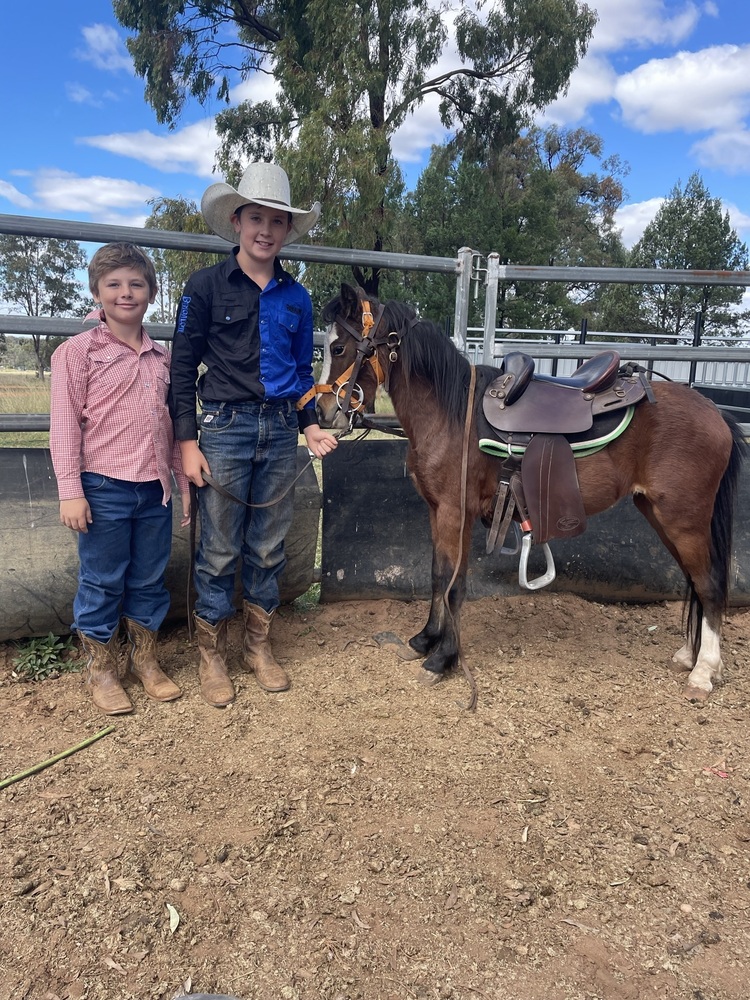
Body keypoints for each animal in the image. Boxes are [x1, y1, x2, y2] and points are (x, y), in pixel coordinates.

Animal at [315, 282, 746, 703]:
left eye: (338, 348)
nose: (322, 411)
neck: (452, 414)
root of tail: (716, 412)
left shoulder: (456, 513)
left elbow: (454, 584)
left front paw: (443, 658)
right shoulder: (437, 512)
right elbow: (438, 576)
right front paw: (426, 639)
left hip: (684, 520)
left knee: (709, 584)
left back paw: (704, 671)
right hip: (659, 514)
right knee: (694, 580)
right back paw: (688, 656)